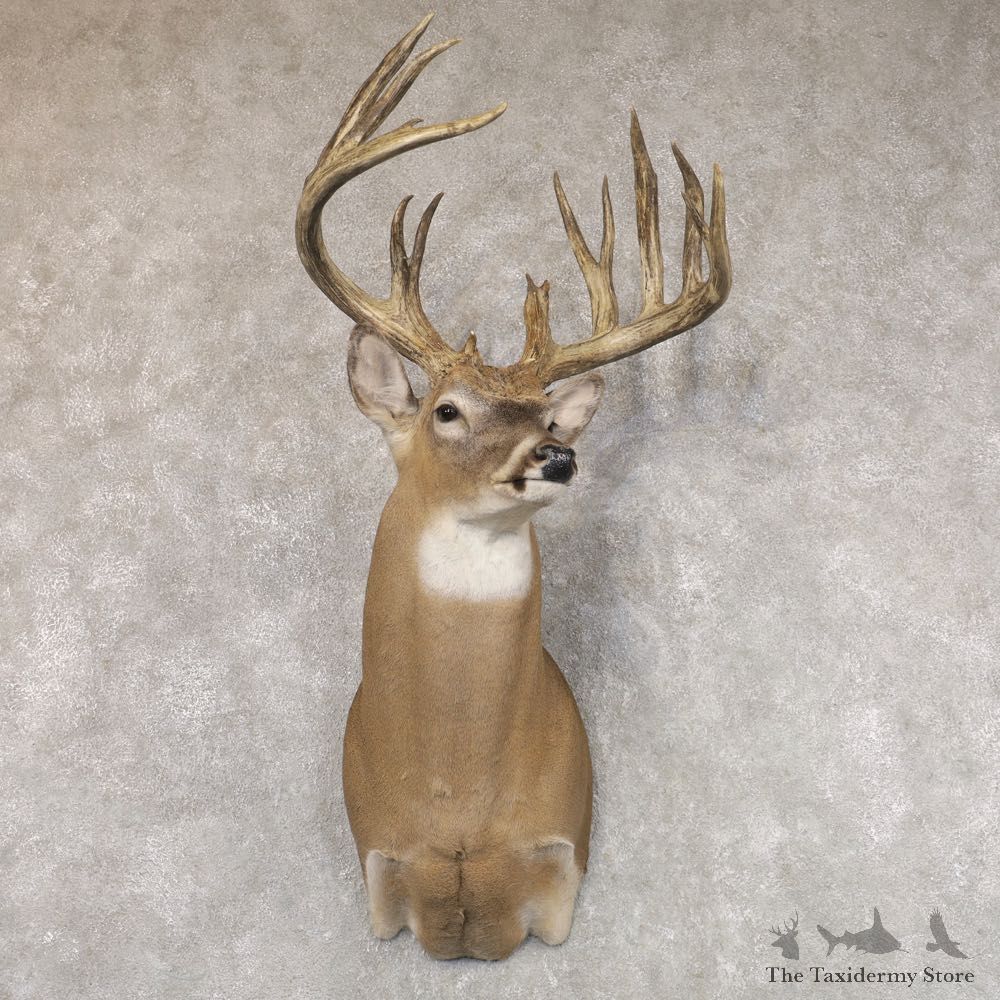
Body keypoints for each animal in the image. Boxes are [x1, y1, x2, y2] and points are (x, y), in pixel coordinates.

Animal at [295, 13, 731, 960]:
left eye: (549, 416)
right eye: (447, 410)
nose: (554, 456)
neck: (460, 804)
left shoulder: (562, 863)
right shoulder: (381, 869)